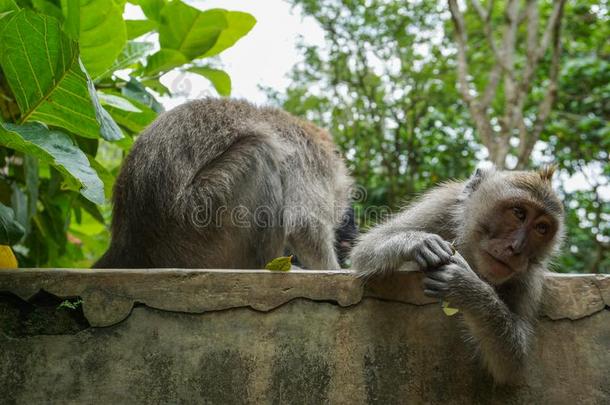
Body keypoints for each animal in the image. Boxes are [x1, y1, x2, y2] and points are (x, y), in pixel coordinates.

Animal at [350, 166, 564, 384]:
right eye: (519, 213)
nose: (516, 248)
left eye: (541, 228)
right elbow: (364, 249)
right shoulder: (442, 205)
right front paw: (419, 242)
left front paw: (467, 288)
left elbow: (512, 362)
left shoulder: (529, 277)